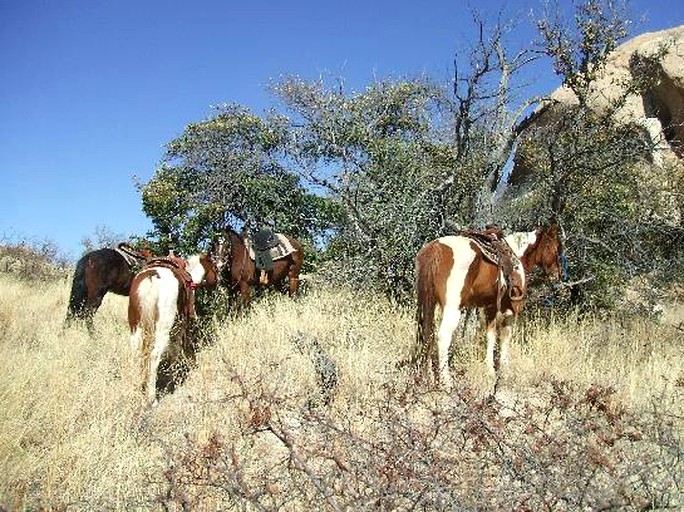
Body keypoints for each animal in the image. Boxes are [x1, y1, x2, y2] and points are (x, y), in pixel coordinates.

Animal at [126, 252, 216, 404]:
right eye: (214, 267)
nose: (217, 280)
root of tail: (151, 278)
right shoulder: (180, 328)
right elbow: (176, 351)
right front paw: (172, 379)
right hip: (163, 330)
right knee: (154, 356)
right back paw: (152, 398)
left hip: (135, 328)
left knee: (136, 354)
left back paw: (137, 389)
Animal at [412, 224, 560, 388]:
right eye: (555, 247)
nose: (557, 274)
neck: (518, 255)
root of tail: (435, 248)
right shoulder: (512, 310)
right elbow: (505, 337)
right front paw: (505, 370)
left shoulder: (491, 307)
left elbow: (490, 335)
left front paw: (489, 370)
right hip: (452, 309)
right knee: (443, 337)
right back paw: (447, 381)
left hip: (428, 304)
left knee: (427, 333)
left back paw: (429, 376)